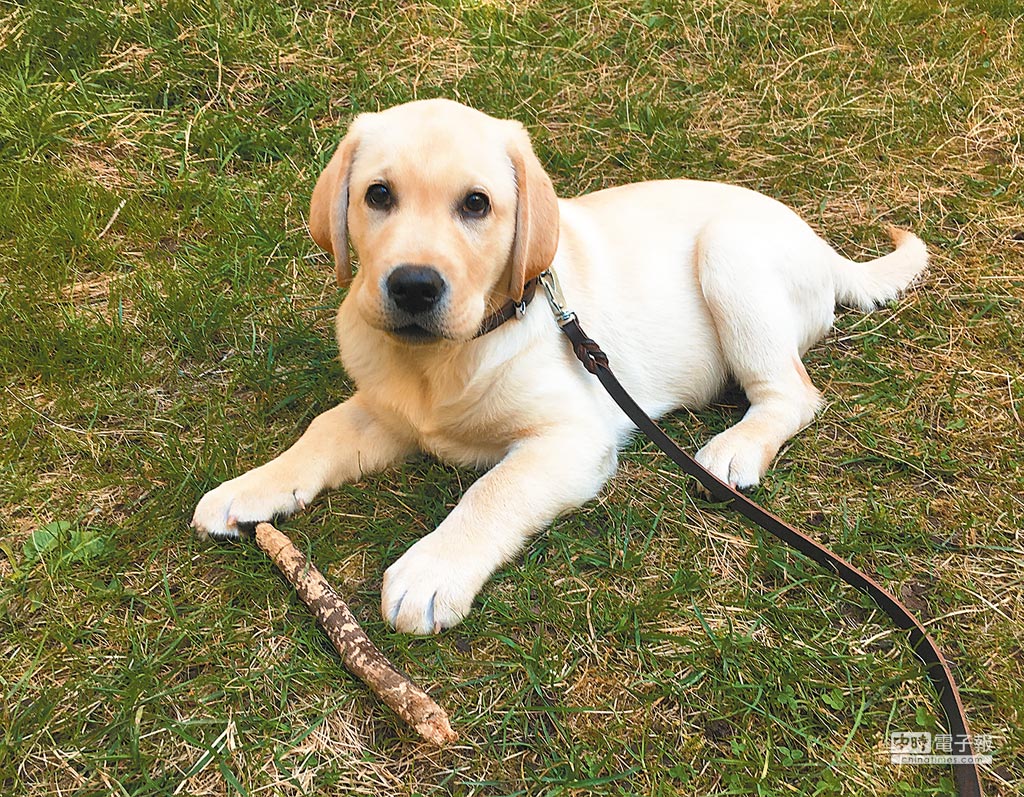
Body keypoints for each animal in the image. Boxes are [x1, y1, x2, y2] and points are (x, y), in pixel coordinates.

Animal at [188, 97, 925, 635]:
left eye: (476, 204)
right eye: (378, 195)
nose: (413, 287)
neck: (449, 354)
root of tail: (821, 247)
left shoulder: (573, 438)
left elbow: (492, 492)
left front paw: (431, 571)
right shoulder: (386, 410)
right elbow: (322, 432)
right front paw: (250, 486)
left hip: (730, 253)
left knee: (791, 393)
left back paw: (736, 447)